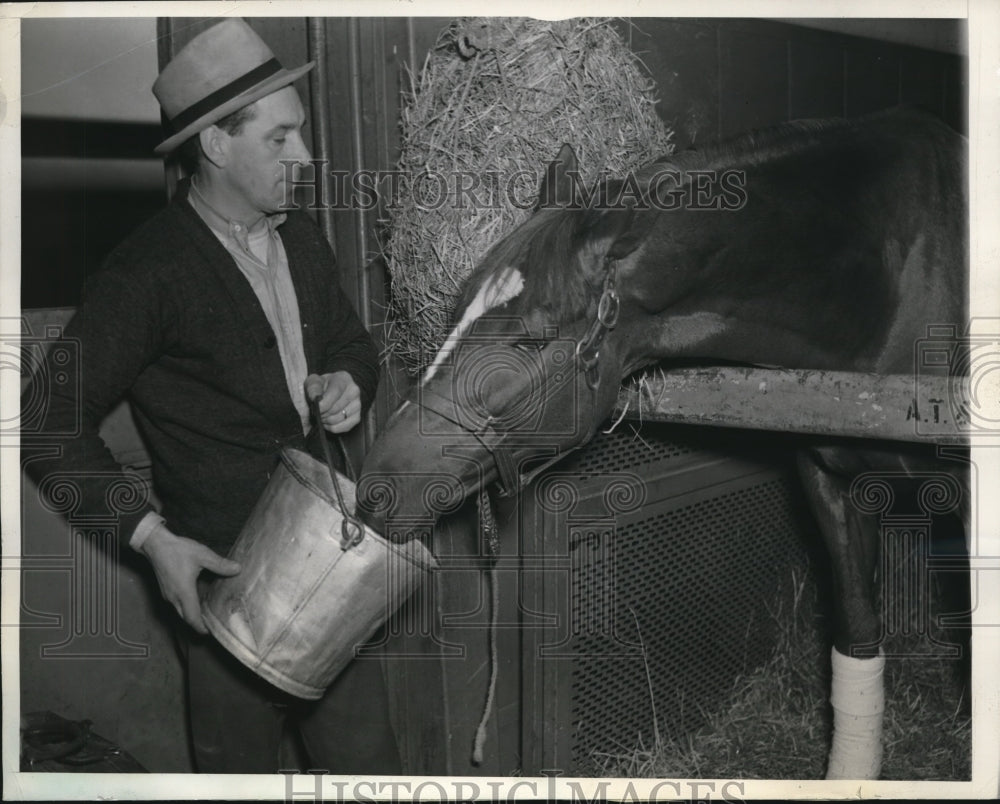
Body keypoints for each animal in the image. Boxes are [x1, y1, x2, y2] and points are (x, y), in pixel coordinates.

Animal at [360, 107, 968, 780]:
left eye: (532, 338)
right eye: (455, 311)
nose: (378, 486)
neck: (887, 293)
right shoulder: (834, 486)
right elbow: (858, 642)